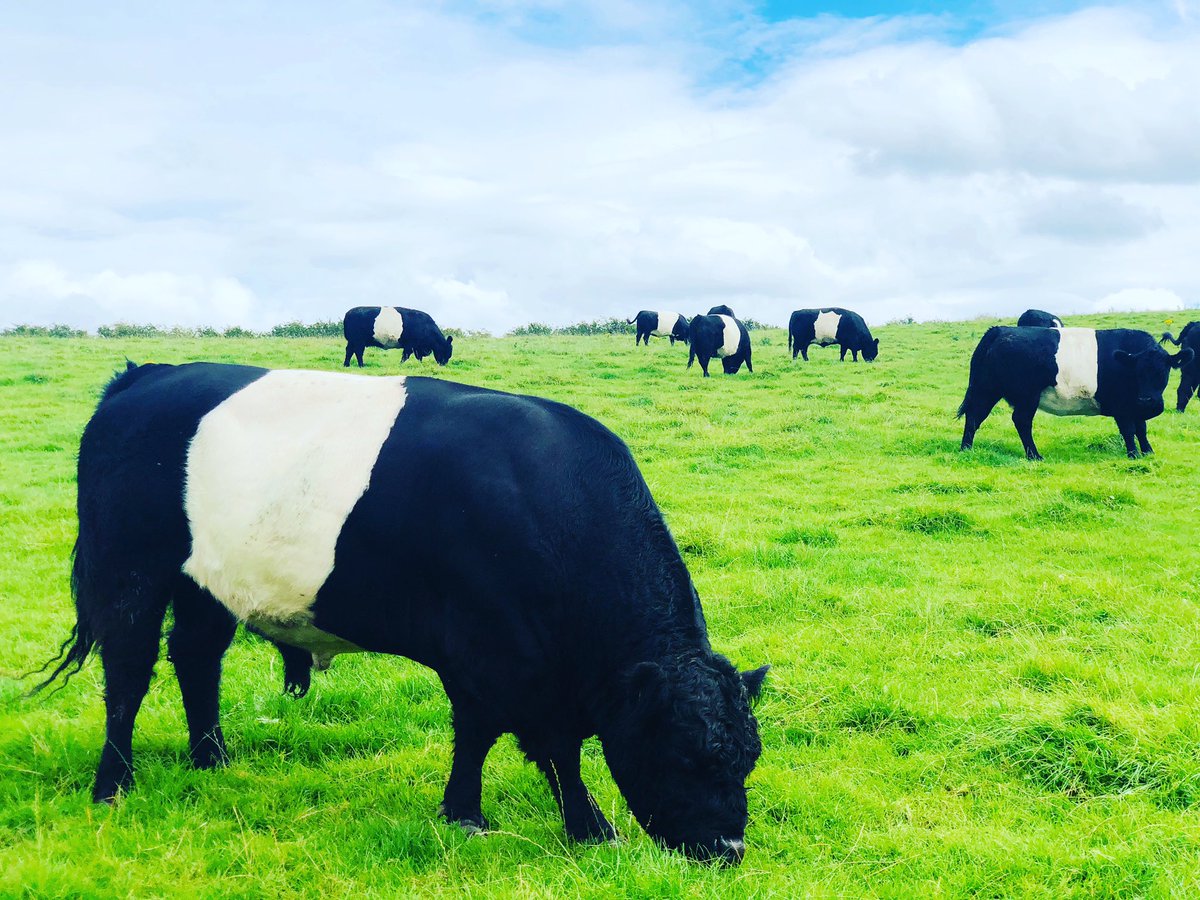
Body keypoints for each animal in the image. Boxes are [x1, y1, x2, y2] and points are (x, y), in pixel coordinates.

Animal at [39, 362, 768, 868]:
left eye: (749, 758)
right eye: (686, 755)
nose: (728, 850)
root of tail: (143, 376)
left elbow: (514, 739)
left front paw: (530, 819)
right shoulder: (491, 652)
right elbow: (525, 741)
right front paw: (552, 823)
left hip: (207, 582)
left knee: (195, 657)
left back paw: (212, 760)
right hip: (131, 571)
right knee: (129, 674)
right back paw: (113, 785)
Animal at [955, 328, 1190, 460]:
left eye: (1163, 371)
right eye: (1138, 372)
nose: (1147, 400)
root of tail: (999, 329)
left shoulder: (1135, 406)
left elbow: (1141, 429)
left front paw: (1148, 452)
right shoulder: (1123, 407)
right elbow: (1129, 430)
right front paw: (1133, 455)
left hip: (989, 388)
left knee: (975, 416)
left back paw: (966, 448)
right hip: (1023, 395)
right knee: (1019, 420)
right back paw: (1034, 456)